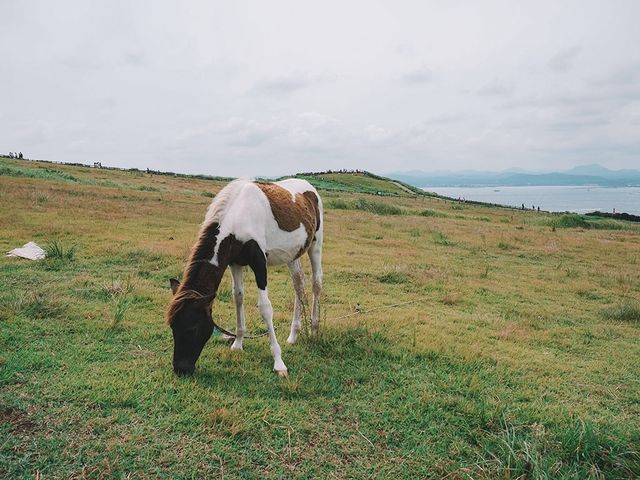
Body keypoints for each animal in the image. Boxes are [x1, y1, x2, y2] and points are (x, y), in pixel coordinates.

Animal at [166, 178, 322, 376]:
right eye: (173, 326)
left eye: (192, 329)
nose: (180, 369)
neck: (237, 216)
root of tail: (308, 186)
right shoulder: (235, 262)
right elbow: (238, 298)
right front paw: (238, 344)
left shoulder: (259, 263)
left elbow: (265, 308)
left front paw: (279, 363)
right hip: (292, 254)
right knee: (298, 283)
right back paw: (293, 335)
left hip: (315, 245)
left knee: (316, 283)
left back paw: (314, 330)